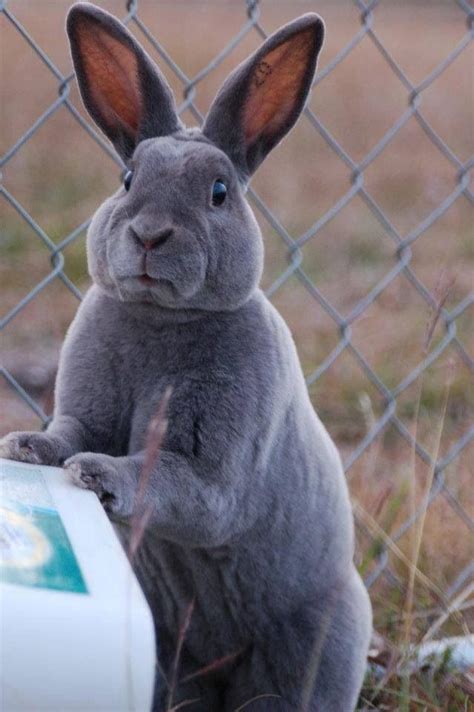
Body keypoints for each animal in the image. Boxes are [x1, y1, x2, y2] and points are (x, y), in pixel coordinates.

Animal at [0, 5, 372, 712]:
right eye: (126, 181)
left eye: (219, 193)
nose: (150, 235)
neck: (161, 318)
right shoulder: (86, 411)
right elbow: (69, 432)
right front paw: (26, 447)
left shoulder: (213, 471)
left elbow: (170, 482)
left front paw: (99, 475)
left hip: (311, 651)